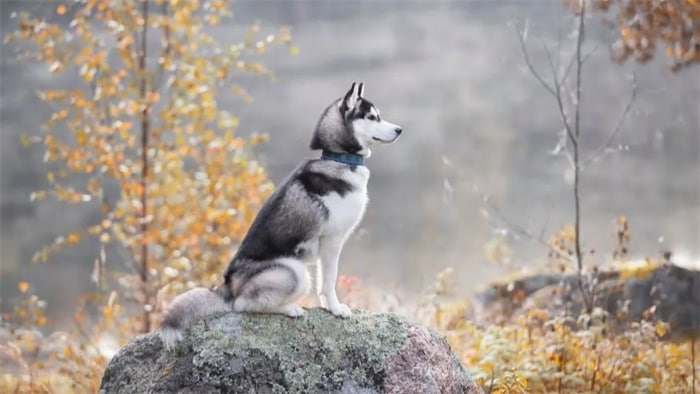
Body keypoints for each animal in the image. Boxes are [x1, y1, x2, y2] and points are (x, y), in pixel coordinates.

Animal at [158, 83, 400, 348]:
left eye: (378, 115)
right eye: (372, 117)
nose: (399, 130)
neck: (339, 159)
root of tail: (227, 286)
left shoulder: (326, 247)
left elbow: (323, 283)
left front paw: (327, 307)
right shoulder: (332, 240)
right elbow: (329, 280)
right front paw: (337, 309)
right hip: (294, 271)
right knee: (242, 305)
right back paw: (289, 308)